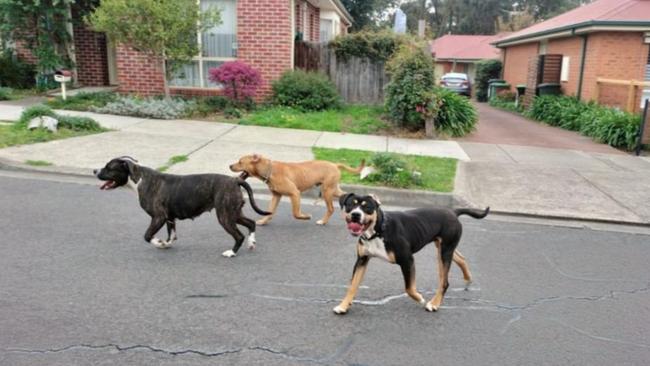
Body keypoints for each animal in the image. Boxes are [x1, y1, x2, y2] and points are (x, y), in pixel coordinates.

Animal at [93, 157, 268, 258]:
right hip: (233, 213)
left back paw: (232, 252)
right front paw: (167, 244)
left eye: (109, 167)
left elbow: (148, 236)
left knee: (238, 235)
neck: (139, 178)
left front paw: (159, 243)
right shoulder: (169, 218)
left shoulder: (158, 217)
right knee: (251, 223)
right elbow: (171, 234)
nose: (94, 170)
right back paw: (251, 243)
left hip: (225, 216)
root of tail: (235, 180)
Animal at [229, 154, 362, 224]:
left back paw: (323, 221)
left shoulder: (295, 193)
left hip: (327, 191)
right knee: (347, 195)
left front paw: (305, 216)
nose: (230, 165)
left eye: (240, 162)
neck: (269, 170)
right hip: (333, 190)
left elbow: (296, 213)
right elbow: (270, 211)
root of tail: (335, 164)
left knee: (331, 208)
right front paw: (263, 221)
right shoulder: (276, 196)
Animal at [334, 193, 486, 316]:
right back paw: (467, 278)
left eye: (367, 207)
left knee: (444, 282)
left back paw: (434, 304)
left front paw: (420, 298)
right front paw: (343, 306)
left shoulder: (407, 260)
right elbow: (352, 285)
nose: (355, 214)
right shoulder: (362, 260)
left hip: (445, 251)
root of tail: (453, 212)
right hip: (443, 248)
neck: (379, 231)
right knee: (461, 259)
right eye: (350, 205)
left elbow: (409, 288)